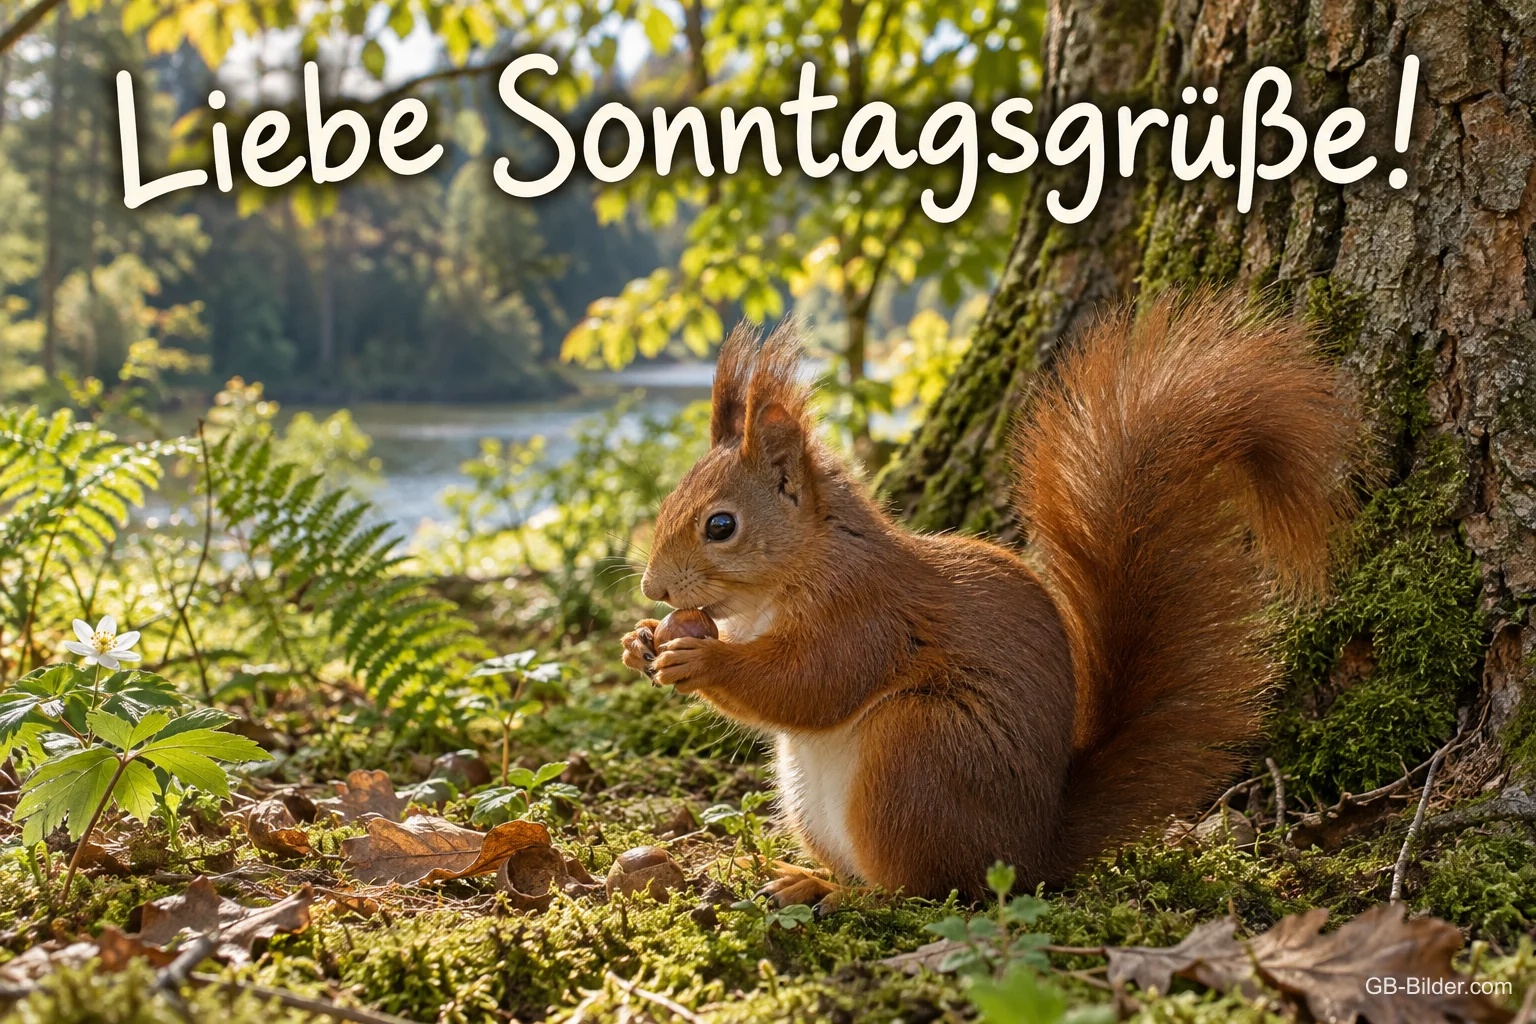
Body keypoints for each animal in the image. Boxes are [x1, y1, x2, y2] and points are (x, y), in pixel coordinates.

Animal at [621, 291, 1356, 901]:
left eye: (721, 526)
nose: (653, 588)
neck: (793, 576)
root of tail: (1034, 852)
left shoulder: (869, 614)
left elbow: (812, 684)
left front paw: (702, 660)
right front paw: (639, 643)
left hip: (918, 755)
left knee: (920, 891)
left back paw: (844, 895)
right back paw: (803, 876)